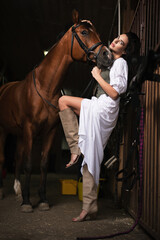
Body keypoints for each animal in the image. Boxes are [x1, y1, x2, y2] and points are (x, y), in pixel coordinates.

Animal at [0, 9, 113, 212]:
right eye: (84, 32)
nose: (107, 55)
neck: (45, 88)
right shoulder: (30, 129)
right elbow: (29, 164)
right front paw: (27, 202)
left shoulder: (50, 131)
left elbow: (43, 164)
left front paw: (42, 199)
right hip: (4, 131)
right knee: (4, 158)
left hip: (19, 134)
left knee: (17, 159)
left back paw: (18, 190)